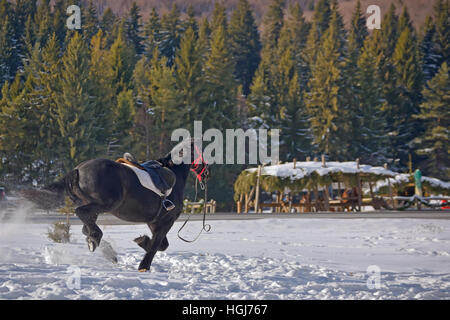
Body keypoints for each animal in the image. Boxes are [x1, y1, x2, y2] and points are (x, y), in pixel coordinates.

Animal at [24, 139, 207, 272]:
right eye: (202, 152)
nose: (207, 172)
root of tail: (79, 169)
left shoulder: (154, 222)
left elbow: (161, 244)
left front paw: (141, 240)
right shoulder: (166, 220)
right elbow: (157, 245)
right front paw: (144, 265)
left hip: (95, 206)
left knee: (86, 225)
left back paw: (103, 247)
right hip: (104, 204)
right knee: (81, 214)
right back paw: (96, 239)